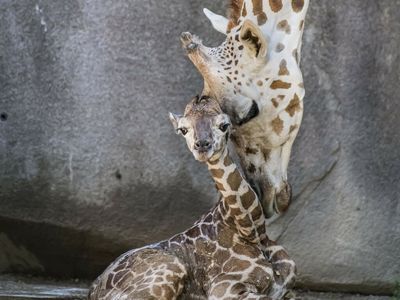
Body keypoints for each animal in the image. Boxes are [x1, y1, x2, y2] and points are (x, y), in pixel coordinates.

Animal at [89, 96, 296, 300]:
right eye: (183, 129)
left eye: (224, 125)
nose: (202, 145)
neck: (251, 230)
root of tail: (94, 288)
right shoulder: (224, 289)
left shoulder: (286, 288)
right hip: (170, 269)